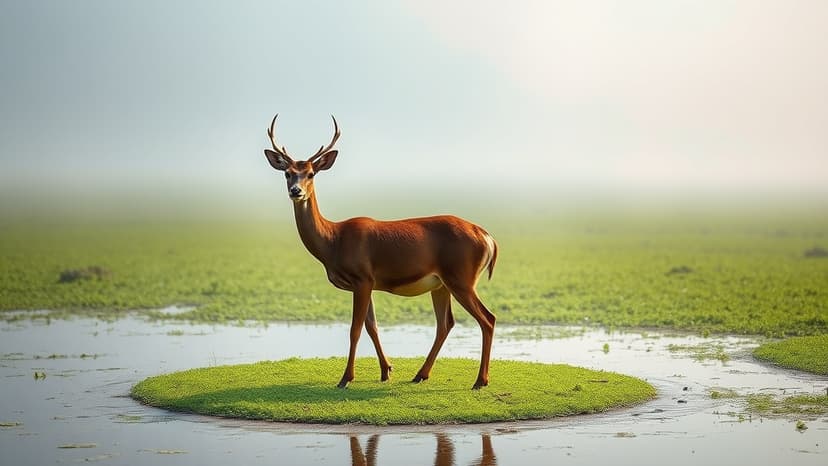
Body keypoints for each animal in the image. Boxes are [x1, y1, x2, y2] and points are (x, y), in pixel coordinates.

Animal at [263, 114, 498, 389]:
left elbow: (355, 329)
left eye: (311, 173)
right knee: (446, 323)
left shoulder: (362, 278)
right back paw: (420, 374)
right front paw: (386, 371)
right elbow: (371, 326)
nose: (296, 191)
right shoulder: (368, 283)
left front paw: (345, 378)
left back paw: (480, 380)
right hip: (441, 284)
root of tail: (487, 237)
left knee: (487, 319)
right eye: (287, 173)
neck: (334, 240)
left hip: (461, 278)